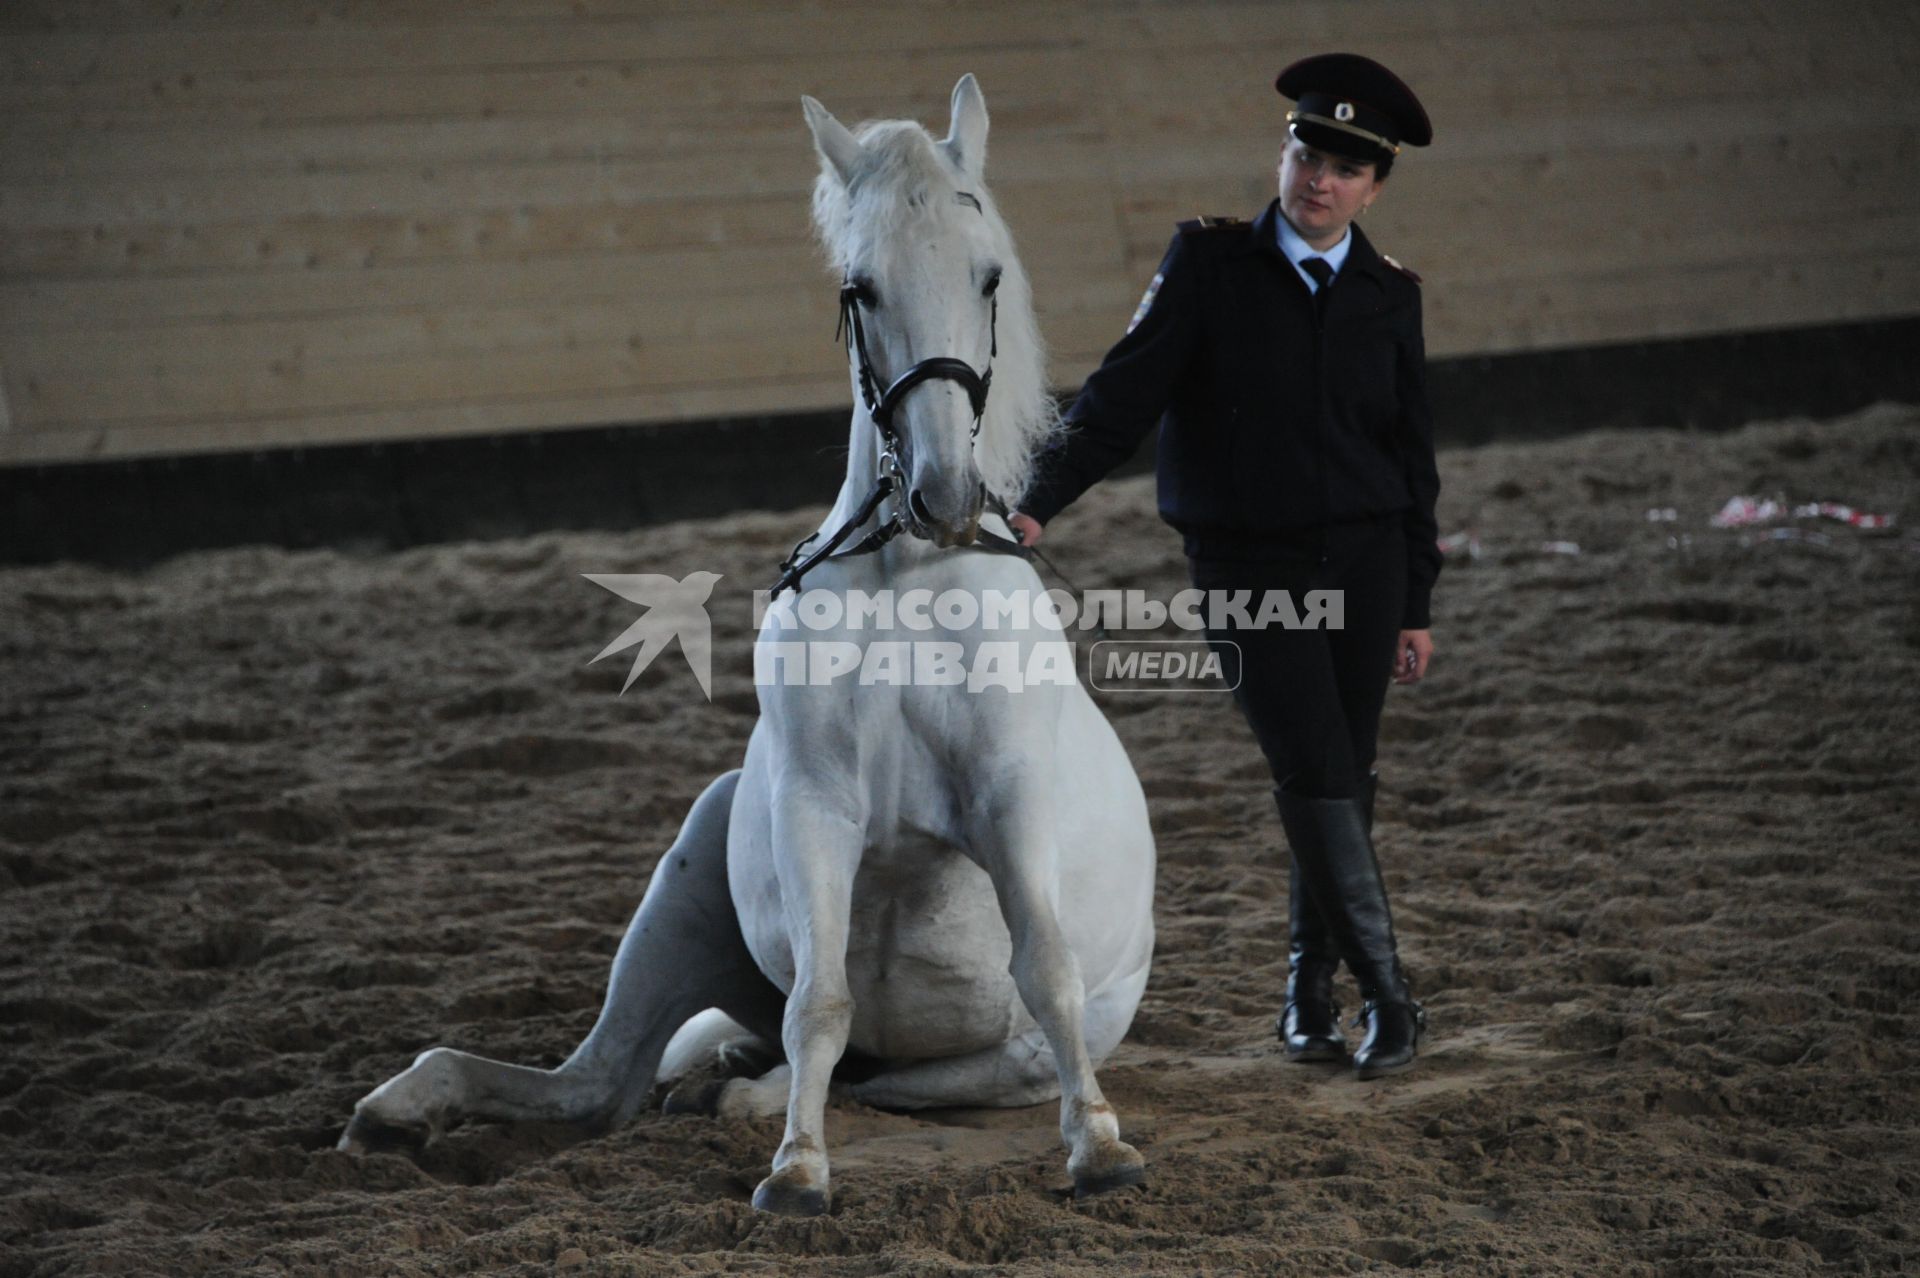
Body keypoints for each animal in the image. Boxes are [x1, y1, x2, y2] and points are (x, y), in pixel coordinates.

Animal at [339, 74, 1152, 1212]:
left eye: (987, 273)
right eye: (861, 289)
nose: (943, 495)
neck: (909, 582)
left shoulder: (1009, 799)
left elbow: (1047, 969)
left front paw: (1099, 1149)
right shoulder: (815, 808)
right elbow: (820, 1001)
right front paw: (798, 1174)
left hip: (980, 1061)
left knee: (879, 1078)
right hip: (694, 863)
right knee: (607, 1083)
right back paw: (413, 1106)